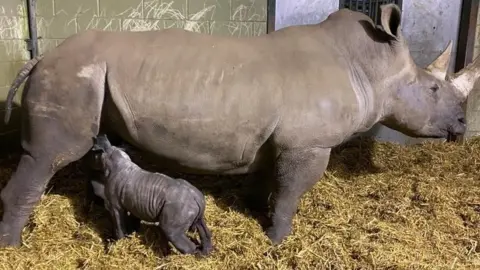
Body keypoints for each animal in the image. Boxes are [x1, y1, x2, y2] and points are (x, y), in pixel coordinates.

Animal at [0, 4, 480, 248]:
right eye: (432, 90)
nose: (461, 125)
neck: (368, 66)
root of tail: (41, 57)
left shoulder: (277, 141)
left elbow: (269, 183)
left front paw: (254, 213)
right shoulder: (308, 144)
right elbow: (291, 194)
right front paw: (277, 241)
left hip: (88, 75)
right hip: (71, 73)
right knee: (48, 156)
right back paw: (14, 246)